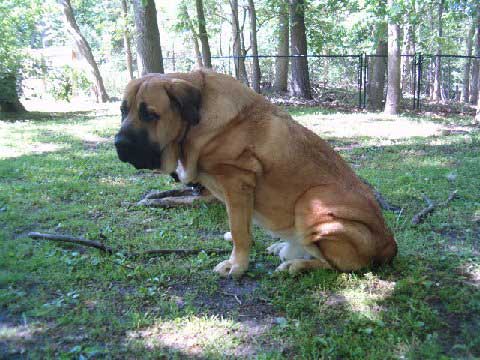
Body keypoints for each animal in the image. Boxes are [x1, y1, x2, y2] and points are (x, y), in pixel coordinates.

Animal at [115, 71, 398, 278]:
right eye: (123, 110)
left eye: (150, 114)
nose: (118, 143)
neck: (196, 123)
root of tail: (389, 245)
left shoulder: (237, 183)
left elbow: (240, 232)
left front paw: (236, 265)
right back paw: (285, 248)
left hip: (312, 202)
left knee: (341, 266)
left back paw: (296, 265)